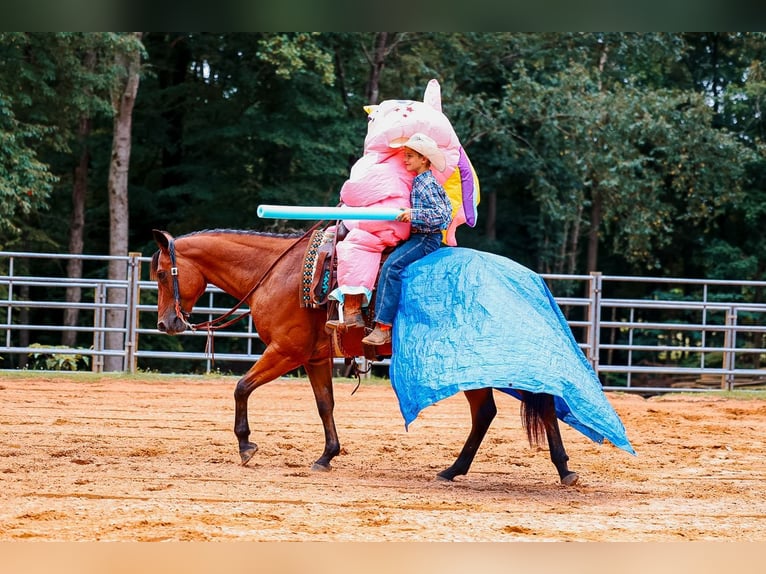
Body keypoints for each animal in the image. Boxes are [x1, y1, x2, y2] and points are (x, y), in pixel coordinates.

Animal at [150, 228, 579, 485]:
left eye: (160, 273)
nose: (166, 322)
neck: (277, 274)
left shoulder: (285, 352)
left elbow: (241, 387)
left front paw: (245, 446)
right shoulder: (314, 358)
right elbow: (325, 404)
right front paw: (327, 455)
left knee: (495, 411)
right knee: (516, 408)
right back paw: (550, 468)